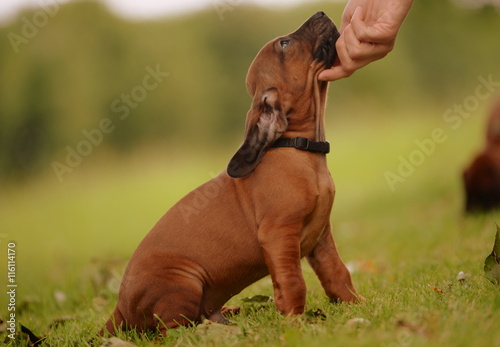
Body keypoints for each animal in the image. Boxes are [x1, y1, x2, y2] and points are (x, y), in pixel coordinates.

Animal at [101, 11, 360, 338]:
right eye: (284, 44)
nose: (321, 13)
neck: (298, 150)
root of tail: (119, 310)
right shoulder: (279, 236)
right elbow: (293, 284)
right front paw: (296, 324)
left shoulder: (321, 236)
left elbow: (338, 274)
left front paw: (359, 306)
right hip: (183, 282)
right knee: (174, 331)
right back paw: (223, 331)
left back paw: (232, 314)